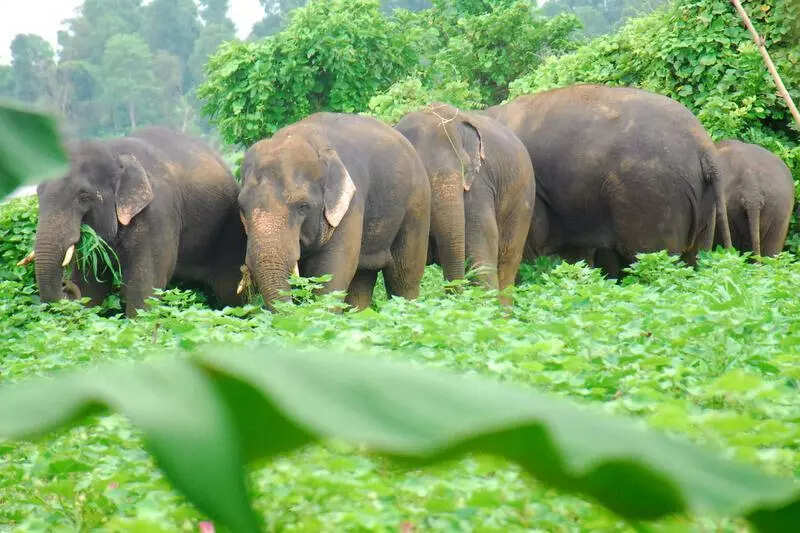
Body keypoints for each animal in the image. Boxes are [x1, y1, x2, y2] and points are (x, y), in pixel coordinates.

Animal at [29, 127, 246, 316]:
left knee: (230, 292)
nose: (66, 285)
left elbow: (145, 285)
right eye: (38, 192)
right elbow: (91, 285)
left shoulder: (158, 212)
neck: (113, 152)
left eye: (83, 196)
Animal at [238, 112, 431, 310]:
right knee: (363, 277)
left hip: (417, 204)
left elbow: (332, 271)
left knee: (404, 276)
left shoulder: (351, 206)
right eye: (241, 208)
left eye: (303, 206)